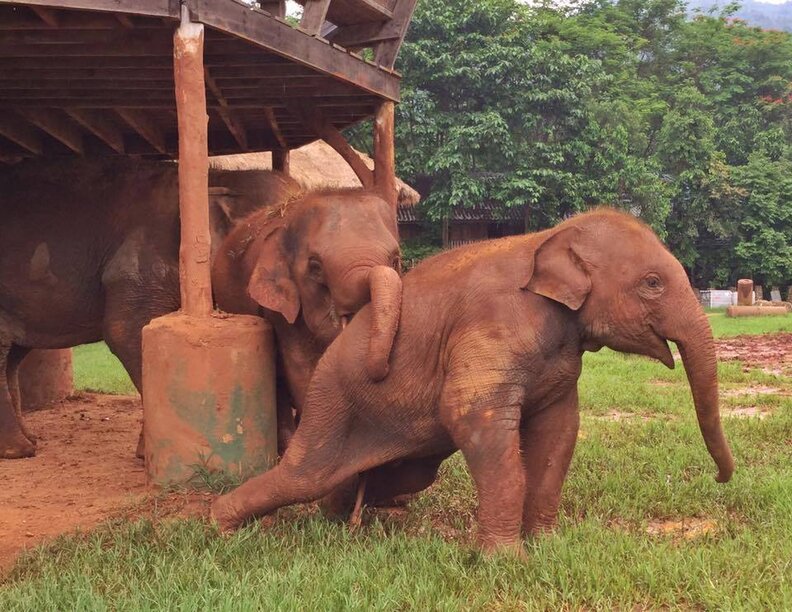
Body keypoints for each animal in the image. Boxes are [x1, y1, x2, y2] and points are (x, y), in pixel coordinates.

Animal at [0, 159, 301, 459]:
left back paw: (29, 439)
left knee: (13, 355)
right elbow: (125, 332)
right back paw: (20, 450)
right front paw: (147, 453)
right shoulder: (141, 261)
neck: (218, 177)